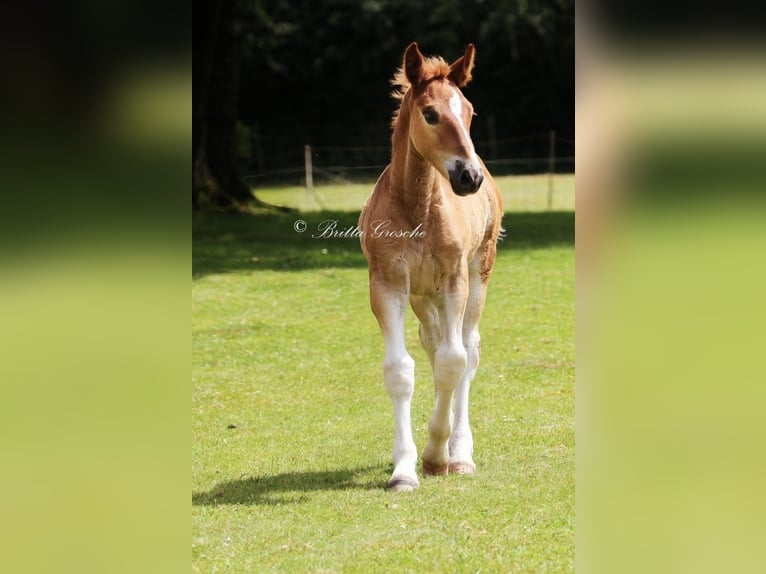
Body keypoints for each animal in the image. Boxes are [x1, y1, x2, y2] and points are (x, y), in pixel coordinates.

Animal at [364, 42, 508, 492]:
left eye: (470, 111)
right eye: (430, 113)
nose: (469, 177)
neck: (417, 210)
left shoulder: (455, 281)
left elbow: (454, 361)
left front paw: (439, 456)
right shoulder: (388, 285)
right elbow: (400, 369)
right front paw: (405, 469)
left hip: (478, 276)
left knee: (468, 348)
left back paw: (460, 452)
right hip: (423, 296)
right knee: (431, 342)